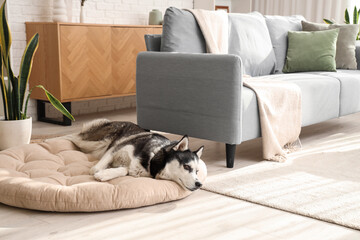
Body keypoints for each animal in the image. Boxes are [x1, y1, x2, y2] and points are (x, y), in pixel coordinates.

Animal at [66, 119, 204, 190]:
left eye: (197, 171)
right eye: (186, 166)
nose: (199, 184)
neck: (152, 158)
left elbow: (125, 170)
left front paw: (105, 174)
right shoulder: (115, 148)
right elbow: (94, 169)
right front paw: (98, 172)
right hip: (96, 142)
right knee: (73, 137)